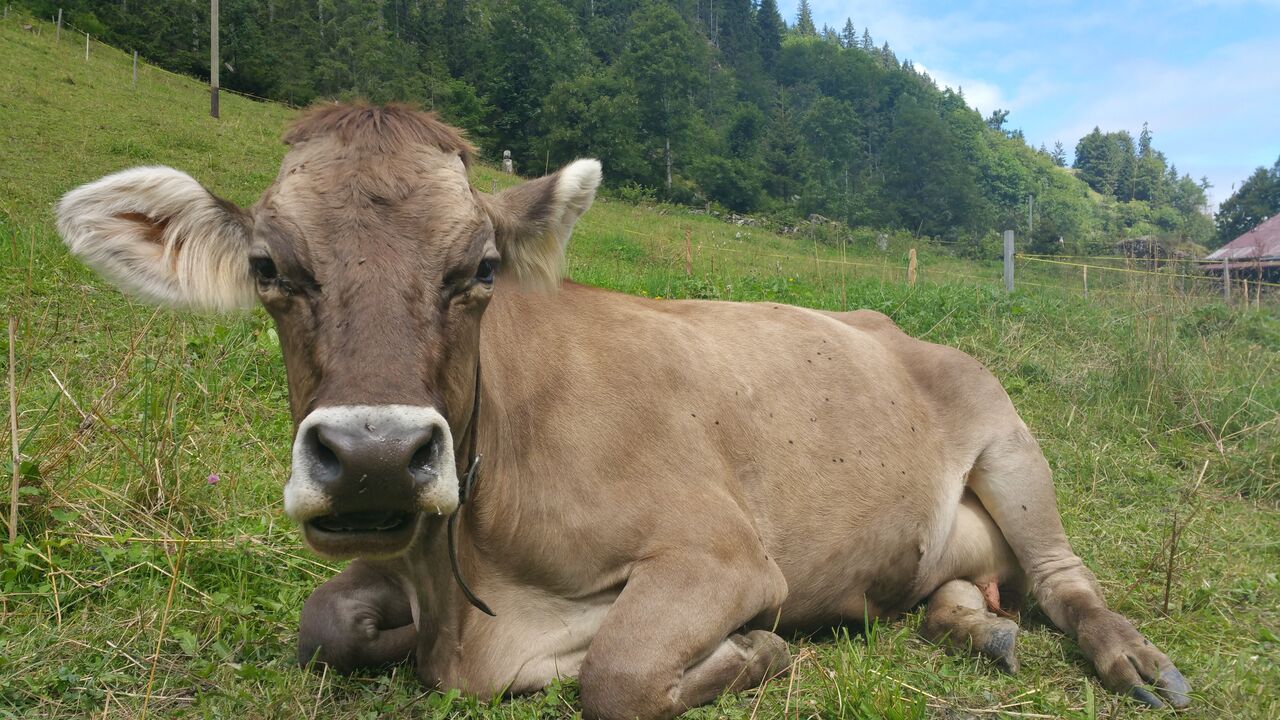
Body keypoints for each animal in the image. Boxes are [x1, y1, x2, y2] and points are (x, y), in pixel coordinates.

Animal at [49, 103, 1187, 712]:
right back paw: (972, 626)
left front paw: (755, 651)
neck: (468, 585)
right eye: (269, 267)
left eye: (480, 268)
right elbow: (323, 622)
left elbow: (618, 670)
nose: (374, 455)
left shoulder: (722, 554)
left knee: (1062, 580)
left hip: (1009, 440)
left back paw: (1134, 662)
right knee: (962, 583)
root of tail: (889, 321)